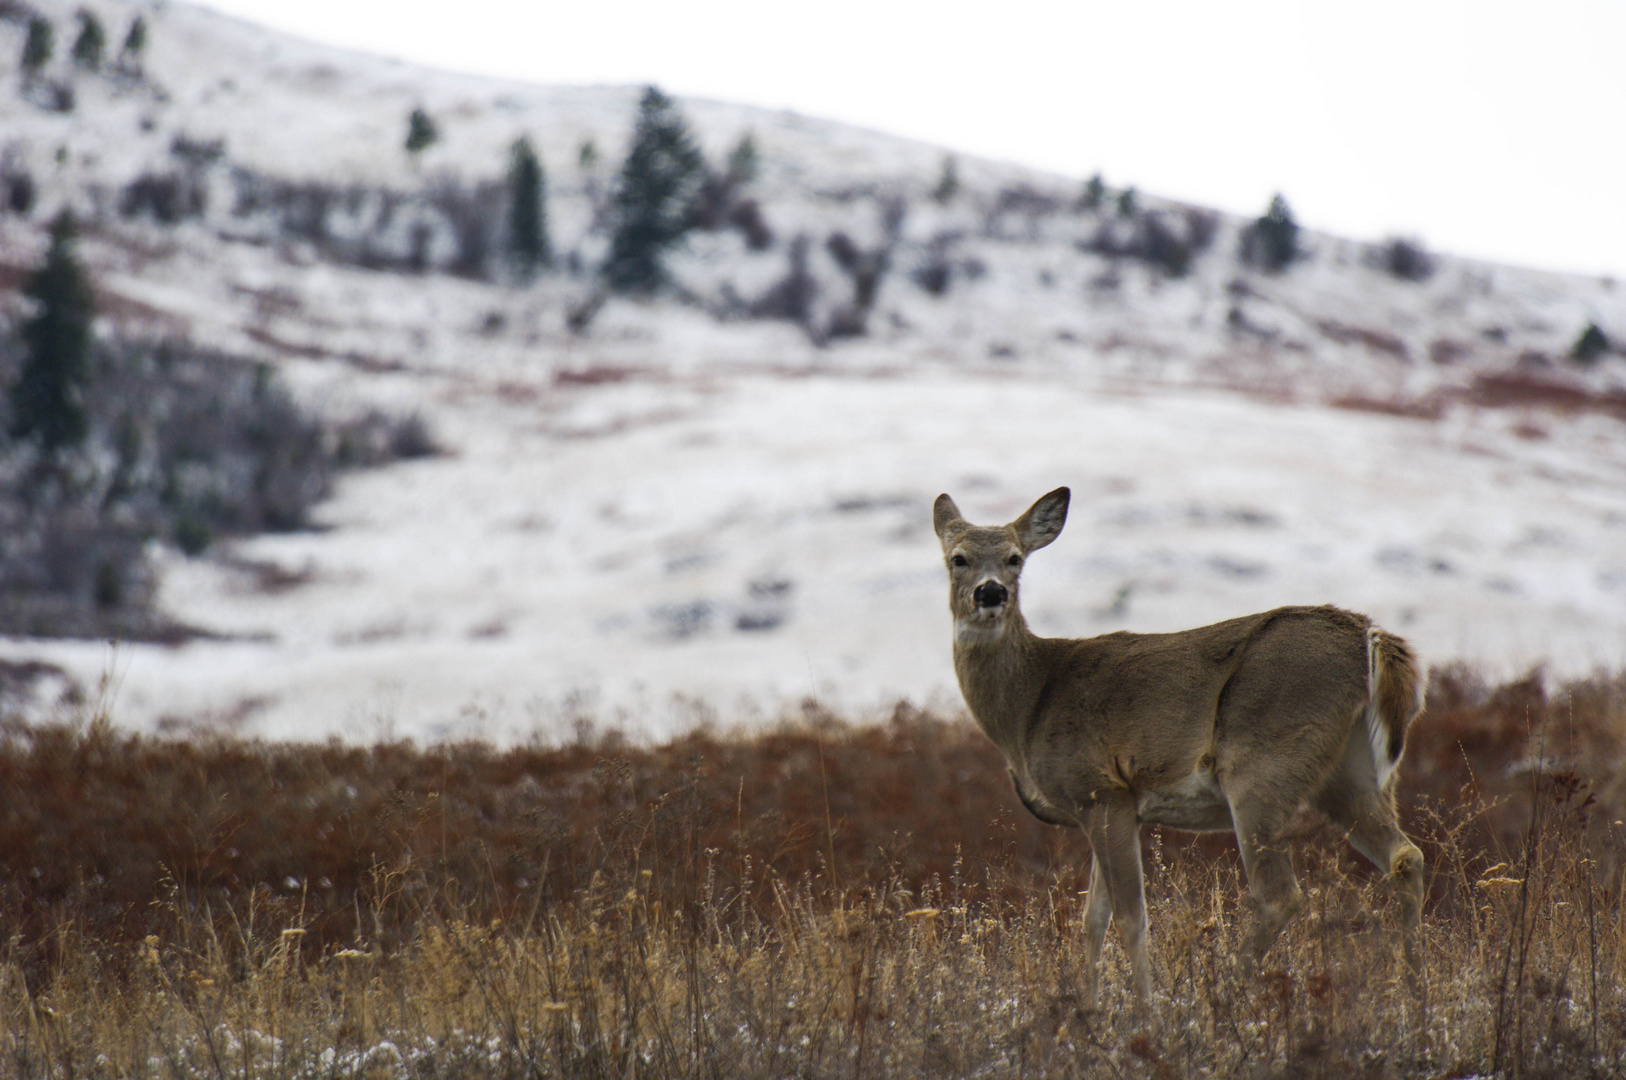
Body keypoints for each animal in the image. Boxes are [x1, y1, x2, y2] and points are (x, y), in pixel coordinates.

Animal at [943, 487, 1424, 1001]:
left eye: (1015, 558)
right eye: (958, 558)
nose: (990, 592)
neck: (1030, 705)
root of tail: (1368, 636)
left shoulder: (1100, 789)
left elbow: (1131, 918)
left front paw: (1144, 1008)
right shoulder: (1113, 807)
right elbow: (1092, 919)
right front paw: (1087, 1007)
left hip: (1262, 763)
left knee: (1280, 895)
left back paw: (1223, 996)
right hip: (1349, 770)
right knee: (1405, 857)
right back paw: (1412, 991)